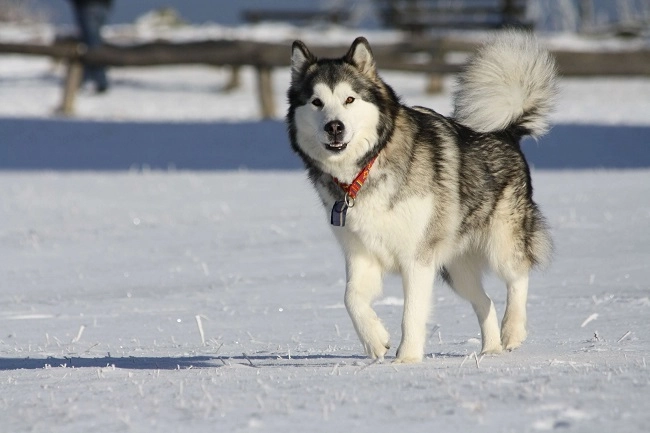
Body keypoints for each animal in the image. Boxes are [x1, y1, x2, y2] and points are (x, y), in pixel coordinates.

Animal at [286, 31, 556, 362]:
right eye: (316, 102)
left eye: (349, 99)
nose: (334, 126)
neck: (366, 169)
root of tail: (505, 132)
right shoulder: (361, 253)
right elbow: (351, 299)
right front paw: (375, 341)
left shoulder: (417, 258)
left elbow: (411, 313)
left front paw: (407, 360)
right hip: (455, 268)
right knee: (485, 301)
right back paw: (490, 350)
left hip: (501, 242)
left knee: (518, 275)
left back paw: (512, 330)